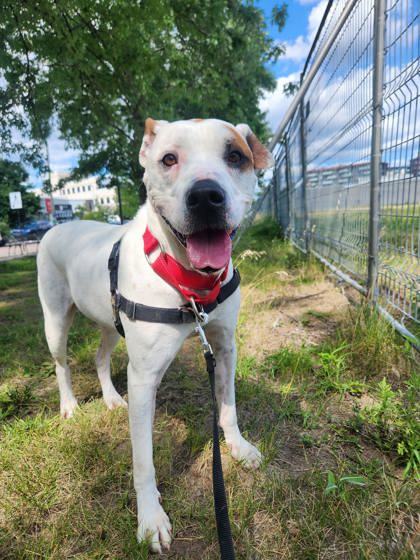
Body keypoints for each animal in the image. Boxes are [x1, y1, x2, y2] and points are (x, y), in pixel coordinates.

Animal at [37, 117, 274, 552]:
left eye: (235, 156)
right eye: (168, 159)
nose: (206, 196)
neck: (190, 284)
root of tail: (57, 227)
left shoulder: (225, 348)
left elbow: (228, 407)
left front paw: (238, 446)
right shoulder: (144, 377)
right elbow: (143, 459)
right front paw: (150, 519)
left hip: (109, 323)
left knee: (100, 356)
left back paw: (112, 399)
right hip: (55, 321)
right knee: (62, 364)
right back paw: (69, 405)